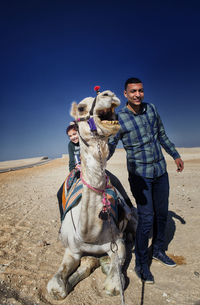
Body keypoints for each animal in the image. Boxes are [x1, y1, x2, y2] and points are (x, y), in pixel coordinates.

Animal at [47, 89, 138, 298]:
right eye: (81, 108)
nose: (108, 94)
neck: (88, 233)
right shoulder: (72, 250)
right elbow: (56, 287)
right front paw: (89, 263)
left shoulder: (117, 244)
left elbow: (113, 285)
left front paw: (105, 264)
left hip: (131, 213)